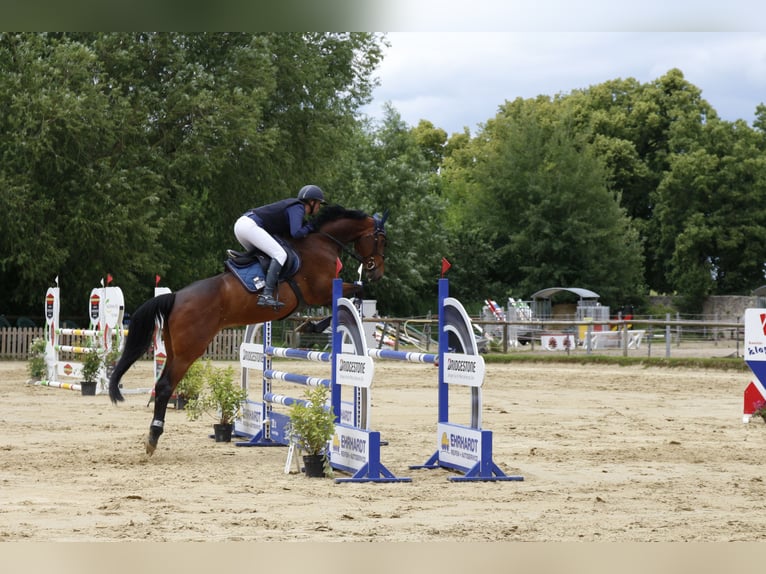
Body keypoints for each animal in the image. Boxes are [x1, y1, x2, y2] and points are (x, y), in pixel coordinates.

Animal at [108, 205, 390, 456]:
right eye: (381, 240)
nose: (376, 271)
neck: (322, 242)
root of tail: (176, 297)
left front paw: (309, 324)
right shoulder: (320, 291)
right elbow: (354, 293)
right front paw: (312, 325)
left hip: (176, 349)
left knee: (161, 385)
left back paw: (153, 436)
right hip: (190, 350)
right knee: (166, 386)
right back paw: (153, 437)